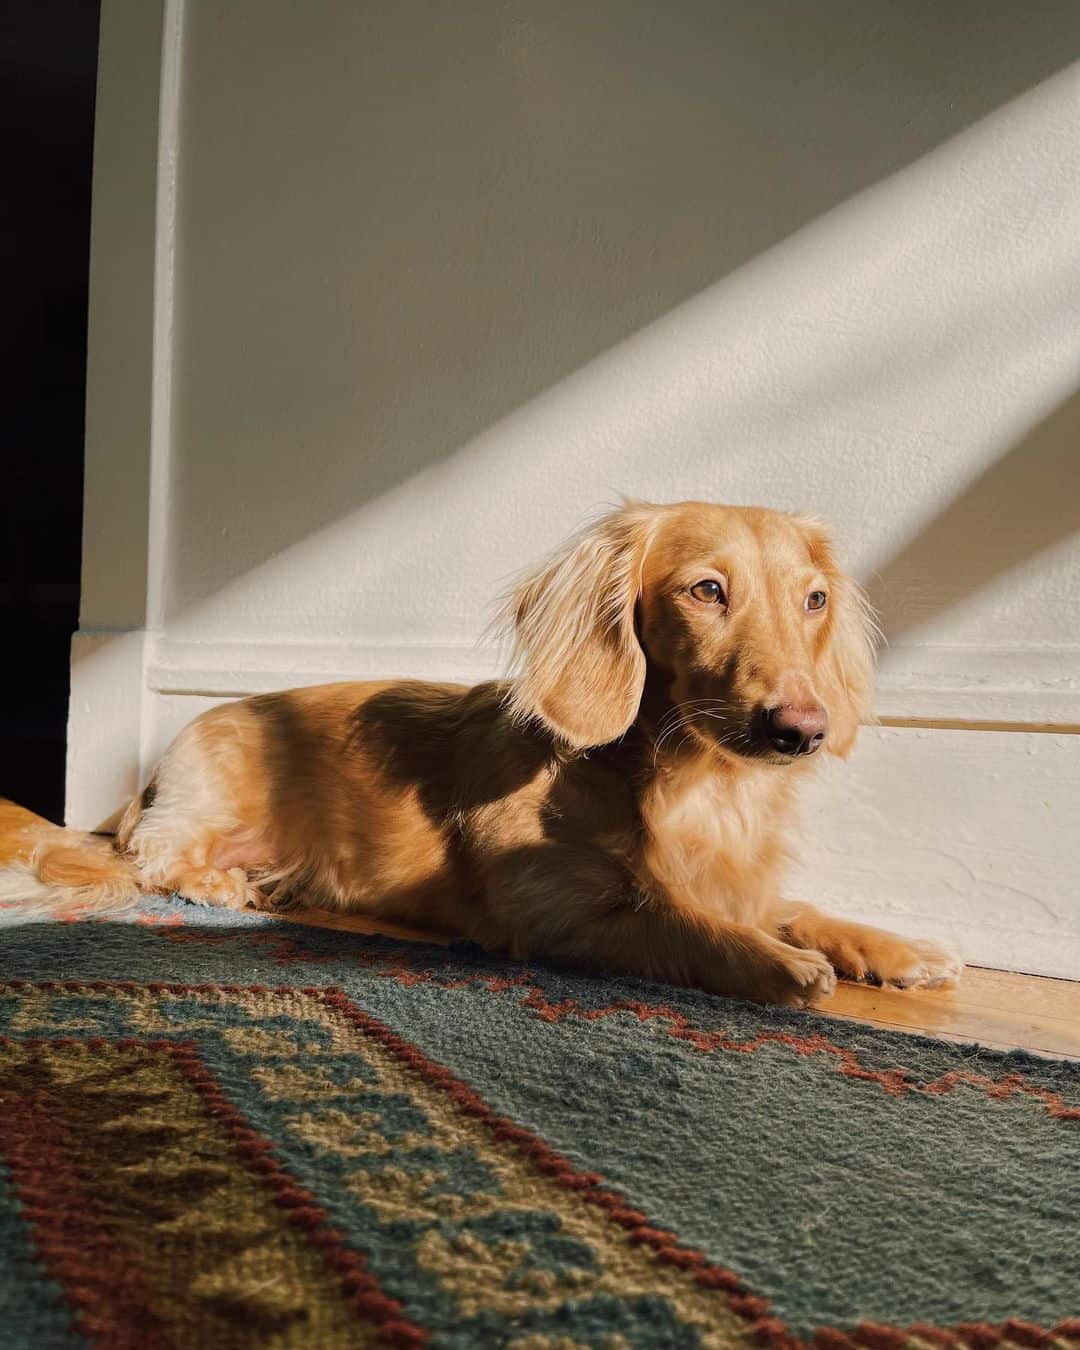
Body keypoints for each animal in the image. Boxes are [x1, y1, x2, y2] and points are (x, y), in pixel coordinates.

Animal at [0, 507, 961, 1004]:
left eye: (814, 599)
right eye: (706, 590)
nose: (803, 728)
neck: (693, 784)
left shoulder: (739, 882)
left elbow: (792, 907)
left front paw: (892, 946)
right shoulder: (565, 913)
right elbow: (682, 920)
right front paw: (779, 963)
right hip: (207, 804)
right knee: (155, 856)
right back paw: (221, 884)